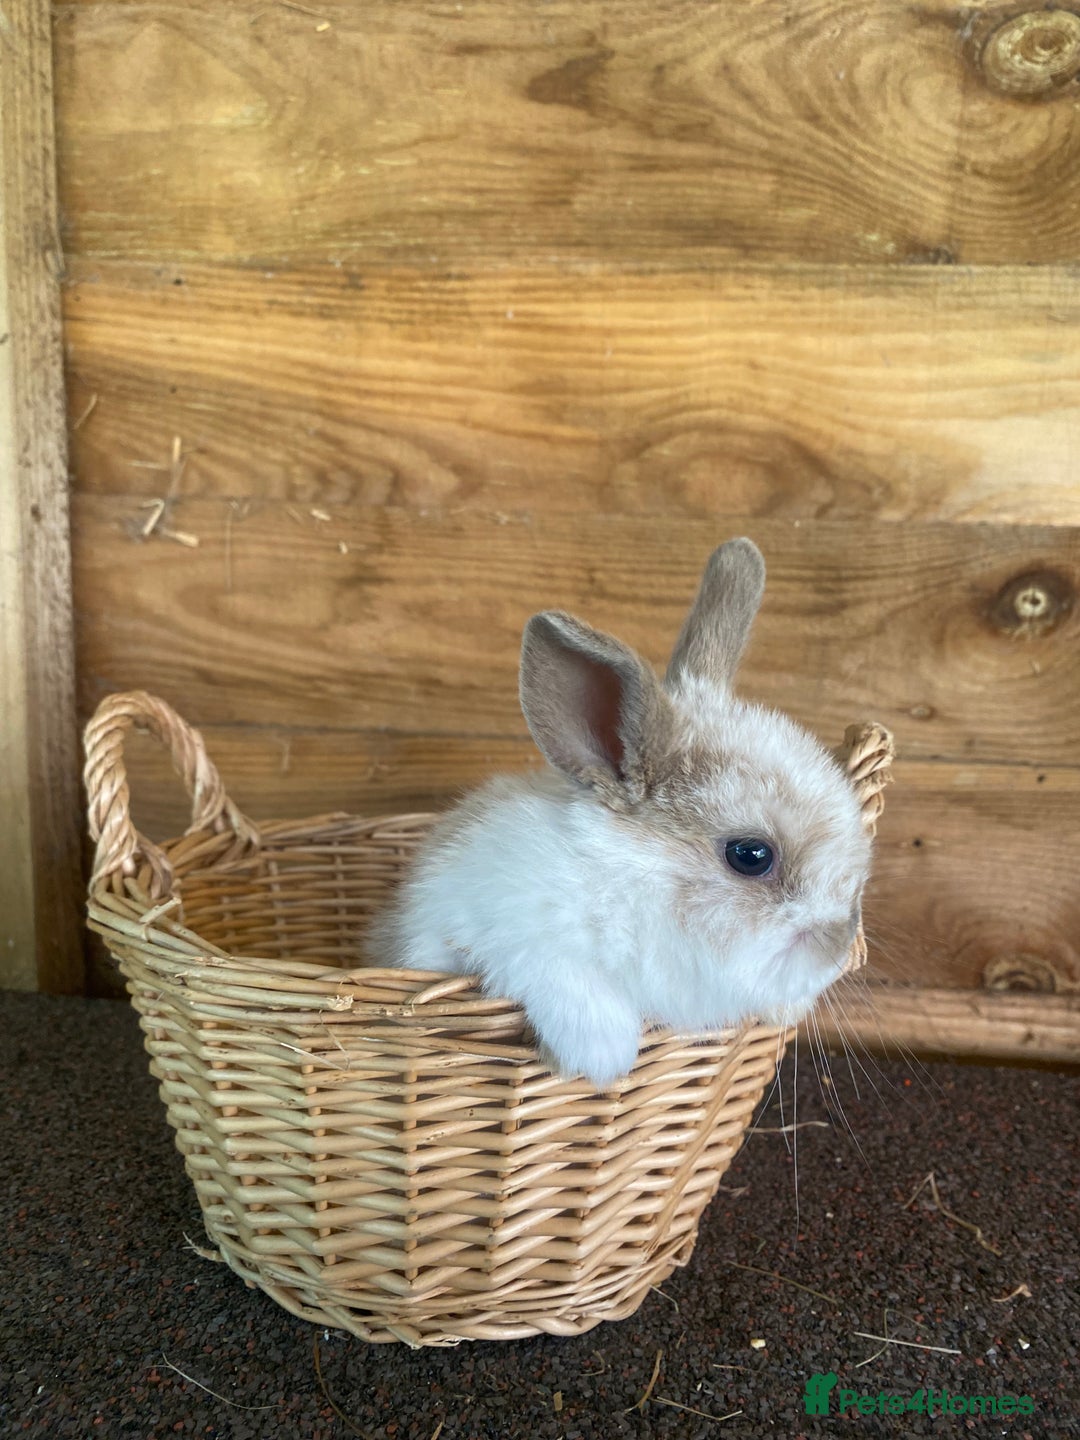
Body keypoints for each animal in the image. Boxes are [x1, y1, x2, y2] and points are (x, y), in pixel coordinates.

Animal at [369, 538, 872, 1088]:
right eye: (750, 855)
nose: (838, 947)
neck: (633, 886)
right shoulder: (486, 929)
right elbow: (557, 971)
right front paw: (600, 1056)